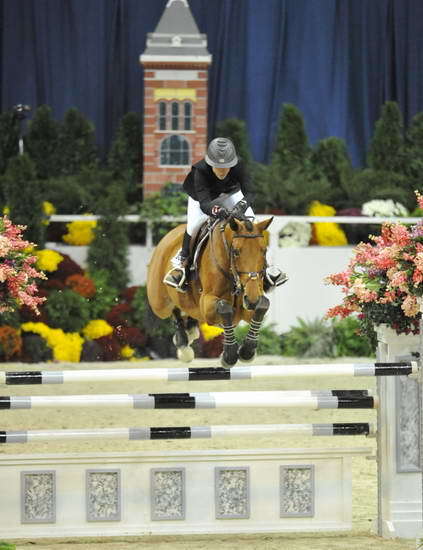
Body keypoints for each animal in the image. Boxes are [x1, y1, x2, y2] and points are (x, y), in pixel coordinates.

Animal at [147, 213, 274, 368]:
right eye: (236, 252)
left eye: (264, 251)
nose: (252, 301)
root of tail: (168, 236)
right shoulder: (207, 305)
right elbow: (225, 308)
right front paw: (229, 356)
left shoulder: (248, 304)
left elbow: (263, 305)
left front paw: (247, 351)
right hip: (159, 305)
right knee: (173, 310)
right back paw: (184, 346)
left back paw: (191, 331)